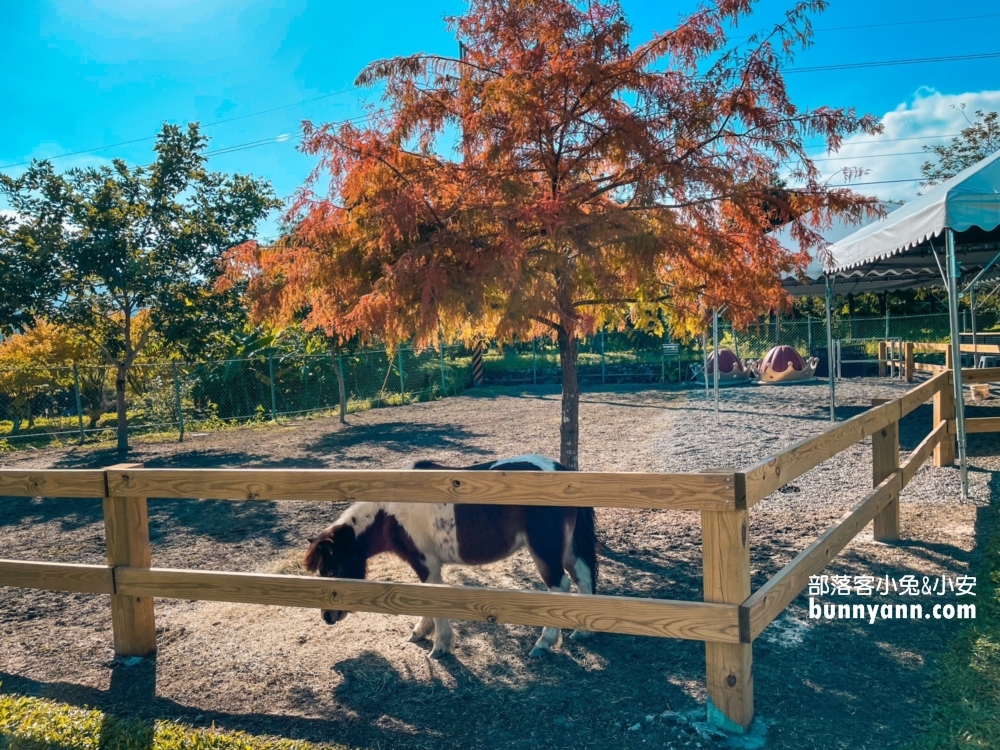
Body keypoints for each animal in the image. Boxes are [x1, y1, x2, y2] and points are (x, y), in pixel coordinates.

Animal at [300, 452, 596, 656]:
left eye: (331, 570)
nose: (327, 617)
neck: (390, 513)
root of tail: (564, 472)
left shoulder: (425, 563)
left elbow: (432, 599)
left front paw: (440, 645)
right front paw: (421, 632)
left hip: (545, 551)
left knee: (559, 586)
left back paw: (544, 643)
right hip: (567, 549)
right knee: (582, 577)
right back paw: (583, 631)